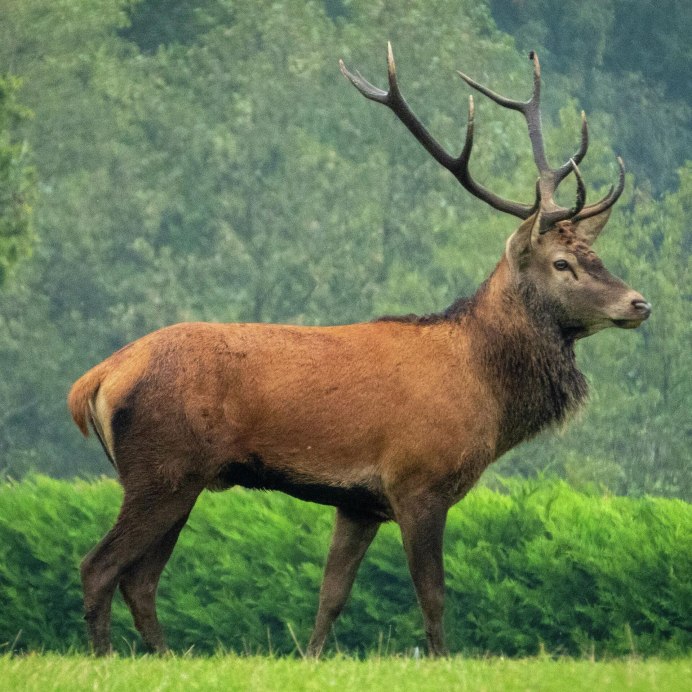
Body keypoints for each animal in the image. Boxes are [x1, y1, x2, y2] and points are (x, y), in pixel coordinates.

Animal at [67, 40, 652, 656]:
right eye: (562, 264)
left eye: (596, 257)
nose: (639, 303)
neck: (486, 394)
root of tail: (96, 380)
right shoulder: (418, 482)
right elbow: (433, 596)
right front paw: (442, 661)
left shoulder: (358, 502)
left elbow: (332, 594)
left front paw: (311, 657)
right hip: (163, 468)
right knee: (100, 566)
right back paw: (108, 657)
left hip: (178, 477)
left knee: (141, 579)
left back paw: (164, 656)